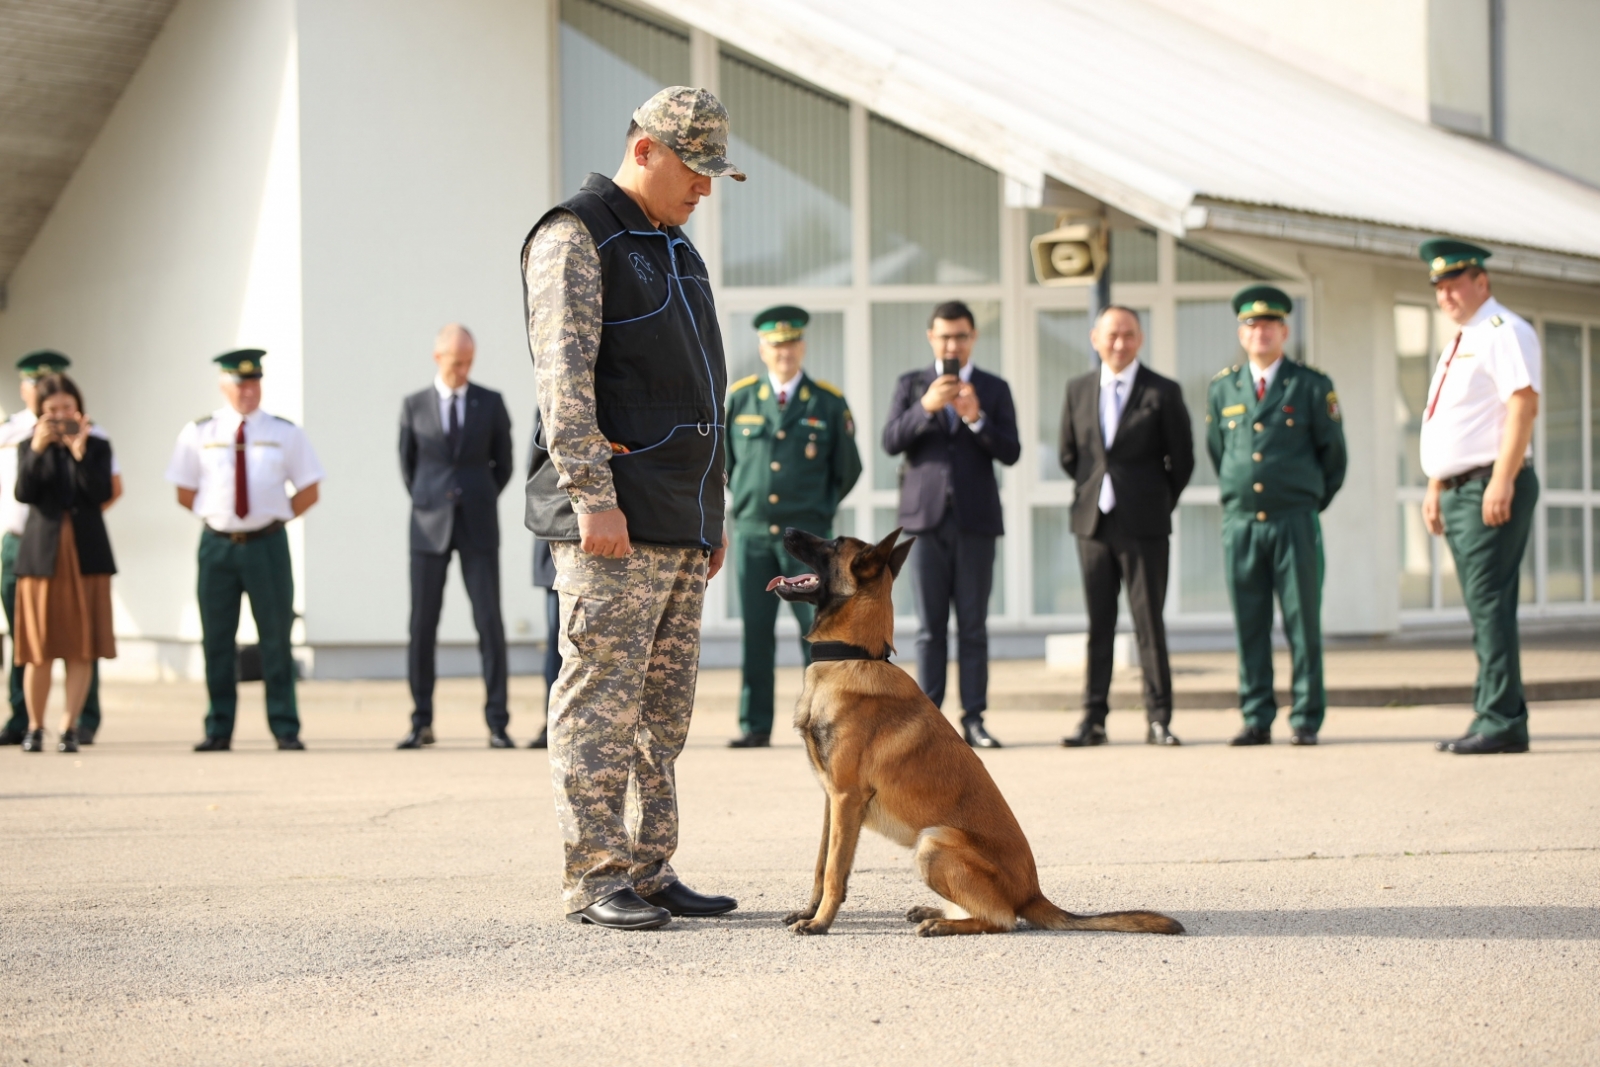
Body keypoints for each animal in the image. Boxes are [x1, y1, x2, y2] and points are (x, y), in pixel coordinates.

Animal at [768, 531, 1184, 940]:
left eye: (835, 543)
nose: (785, 531)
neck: (852, 655)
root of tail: (1033, 893)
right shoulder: (832, 801)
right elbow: (821, 865)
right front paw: (810, 911)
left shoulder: (846, 798)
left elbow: (835, 871)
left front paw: (820, 923)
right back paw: (934, 911)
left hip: (933, 842)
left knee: (1002, 919)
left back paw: (942, 924)